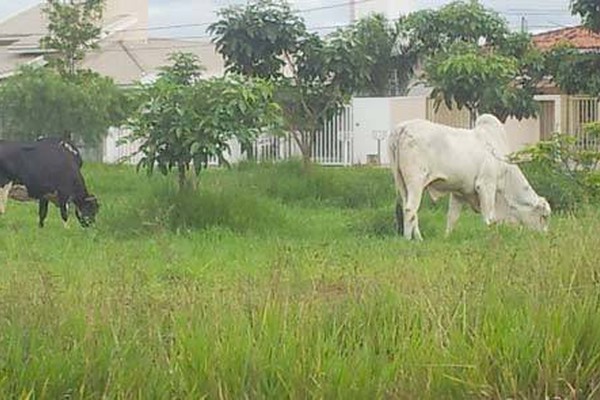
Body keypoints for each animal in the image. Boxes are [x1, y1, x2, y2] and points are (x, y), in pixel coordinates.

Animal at [386, 114, 552, 242]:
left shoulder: (458, 193)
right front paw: (490, 237)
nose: (545, 236)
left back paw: (418, 237)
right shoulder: (486, 185)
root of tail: (403, 128)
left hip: (401, 182)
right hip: (415, 181)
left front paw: (447, 237)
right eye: (544, 217)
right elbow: (489, 217)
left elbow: (452, 218)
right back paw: (410, 240)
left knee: (409, 209)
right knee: (410, 209)